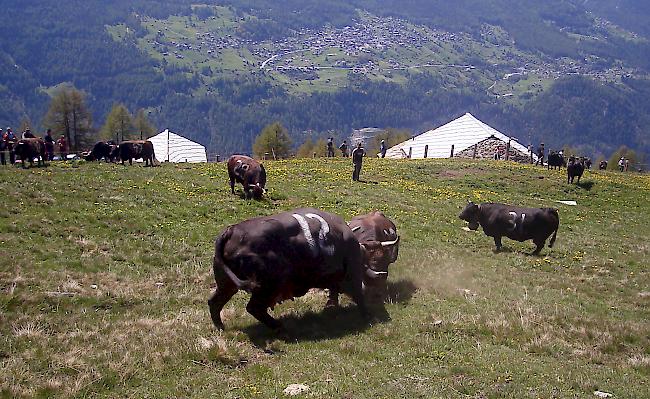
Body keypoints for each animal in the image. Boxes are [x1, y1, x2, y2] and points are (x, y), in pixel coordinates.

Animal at [208, 208, 384, 332]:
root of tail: (231, 231)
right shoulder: (353, 271)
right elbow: (358, 294)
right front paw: (367, 315)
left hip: (227, 284)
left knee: (214, 302)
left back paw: (221, 327)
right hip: (267, 286)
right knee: (254, 308)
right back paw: (279, 326)